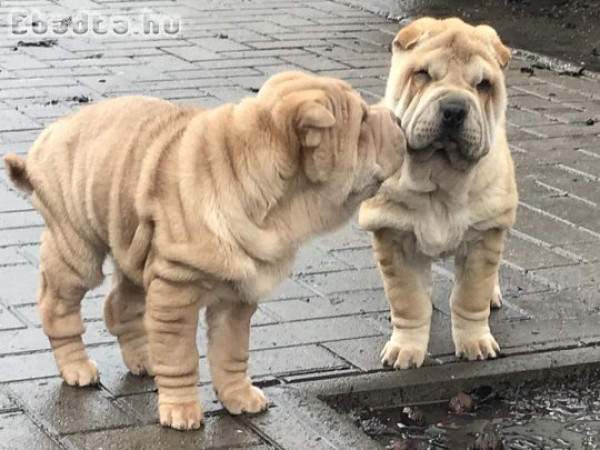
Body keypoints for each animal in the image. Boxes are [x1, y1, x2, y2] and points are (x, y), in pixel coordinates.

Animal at [3, 72, 404, 430]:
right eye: (363, 122)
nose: (398, 117)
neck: (276, 206)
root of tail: (49, 136)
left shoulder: (237, 298)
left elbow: (231, 354)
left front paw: (238, 396)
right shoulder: (175, 295)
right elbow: (181, 358)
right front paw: (181, 411)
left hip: (133, 251)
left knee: (120, 307)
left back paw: (144, 359)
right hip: (78, 251)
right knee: (58, 308)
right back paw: (77, 367)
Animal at [358, 17, 516, 370]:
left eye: (483, 84)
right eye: (423, 75)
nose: (455, 108)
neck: (440, 179)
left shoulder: (484, 237)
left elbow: (470, 297)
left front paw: (475, 344)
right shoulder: (393, 237)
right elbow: (408, 301)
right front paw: (404, 351)